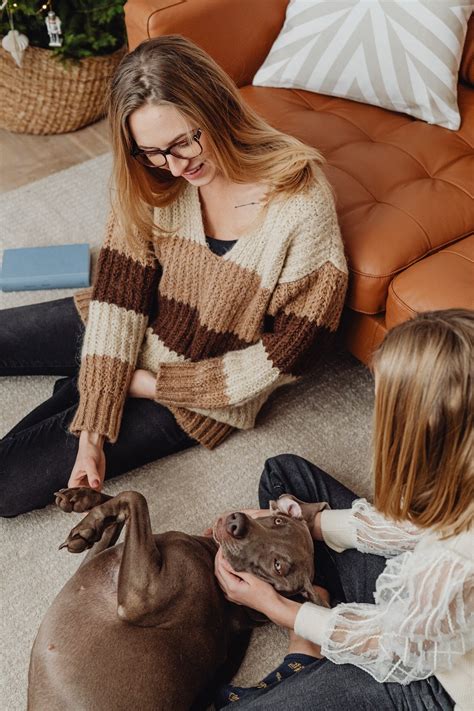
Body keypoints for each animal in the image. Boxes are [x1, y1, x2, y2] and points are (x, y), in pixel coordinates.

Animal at [27, 486, 328, 708]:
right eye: (278, 521)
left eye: (279, 566)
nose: (237, 523)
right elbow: (119, 514)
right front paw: (81, 502)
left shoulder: (138, 597)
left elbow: (135, 497)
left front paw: (88, 515)